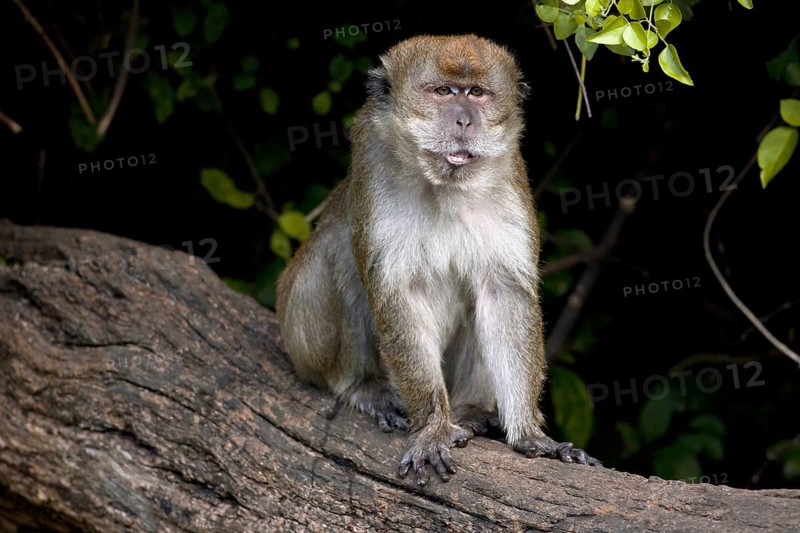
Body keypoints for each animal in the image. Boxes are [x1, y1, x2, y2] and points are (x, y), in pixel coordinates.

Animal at [276, 34, 600, 486]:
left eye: (477, 93)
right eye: (443, 91)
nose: (464, 121)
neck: (444, 185)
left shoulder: (509, 174)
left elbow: (503, 295)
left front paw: (530, 435)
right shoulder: (372, 161)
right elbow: (397, 295)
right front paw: (432, 427)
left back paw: (471, 410)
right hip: (298, 335)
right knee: (336, 250)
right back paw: (363, 386)